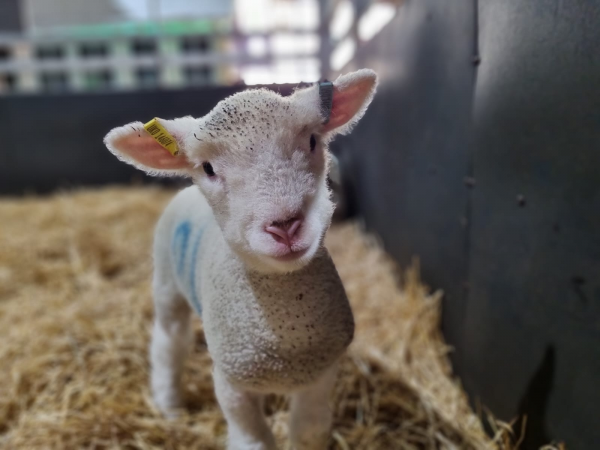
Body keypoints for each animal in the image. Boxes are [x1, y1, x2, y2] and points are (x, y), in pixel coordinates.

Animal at [101, 67, 378, 450]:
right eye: (208, 168)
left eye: (312, 141)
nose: (285, 226)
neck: (285, 335)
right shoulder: (231, 384)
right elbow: (254, 441)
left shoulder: (321, 374)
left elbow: (309, 430)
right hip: (167, 283)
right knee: (169, 341)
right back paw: (169, 404)